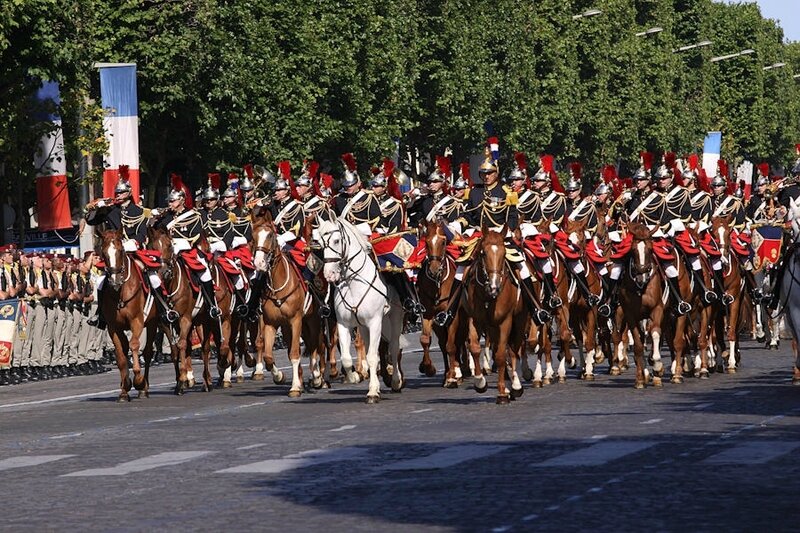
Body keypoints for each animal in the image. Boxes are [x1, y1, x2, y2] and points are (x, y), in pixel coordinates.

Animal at [97, 228, 159, 400]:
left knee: (148, 351)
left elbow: (134, 345)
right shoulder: (113, 327)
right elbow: (120, 355)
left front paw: (138, 380)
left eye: (120, 251)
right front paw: (124, 389)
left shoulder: (136, 321)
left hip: (152, 323)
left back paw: (144, 387)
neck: (120, 294)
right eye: (103, 253)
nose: (115, 280)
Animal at [318, 218, 406, 402]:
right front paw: (355, 376)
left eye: (336, 241)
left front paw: (372, 391)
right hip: (364, 327)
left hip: (395, 318)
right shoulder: (344, 324)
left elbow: (373, 357)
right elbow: (346, 358)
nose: (329, 274)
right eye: (321, 244)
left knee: (394, 347)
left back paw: (396, 381)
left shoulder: (375, 323)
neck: (354, 283)